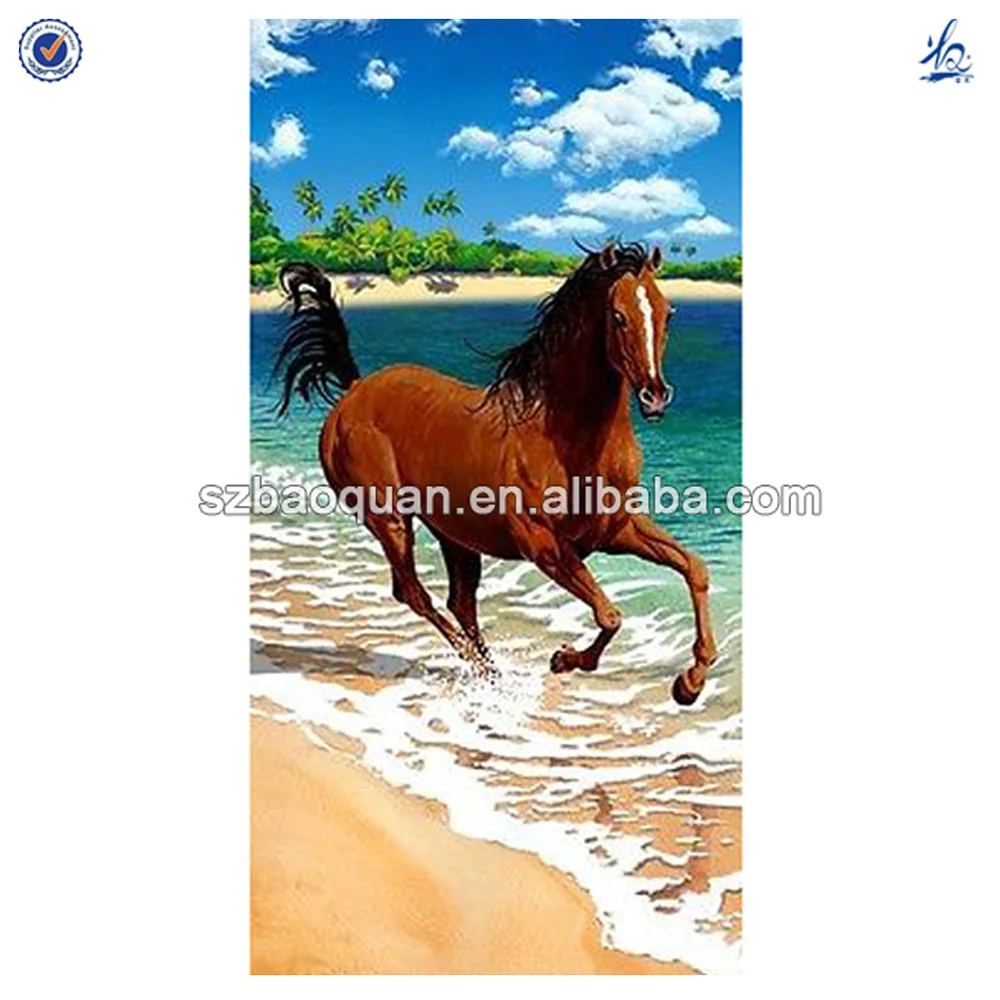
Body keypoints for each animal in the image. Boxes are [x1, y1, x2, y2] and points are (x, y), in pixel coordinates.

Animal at [273, 242, 718, 705]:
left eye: (667, 312)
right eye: (617, 315)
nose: (655, 397)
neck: (566, 438)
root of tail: (355, 390)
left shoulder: (616, 529)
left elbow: (694, 568)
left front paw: (690, 682)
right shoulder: (544, 546)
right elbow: (609, 614)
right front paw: (564, 659)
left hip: (454, 534)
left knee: (459, 601)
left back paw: (491, 670)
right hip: (389, 520)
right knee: (413, 593)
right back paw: (484, 672)